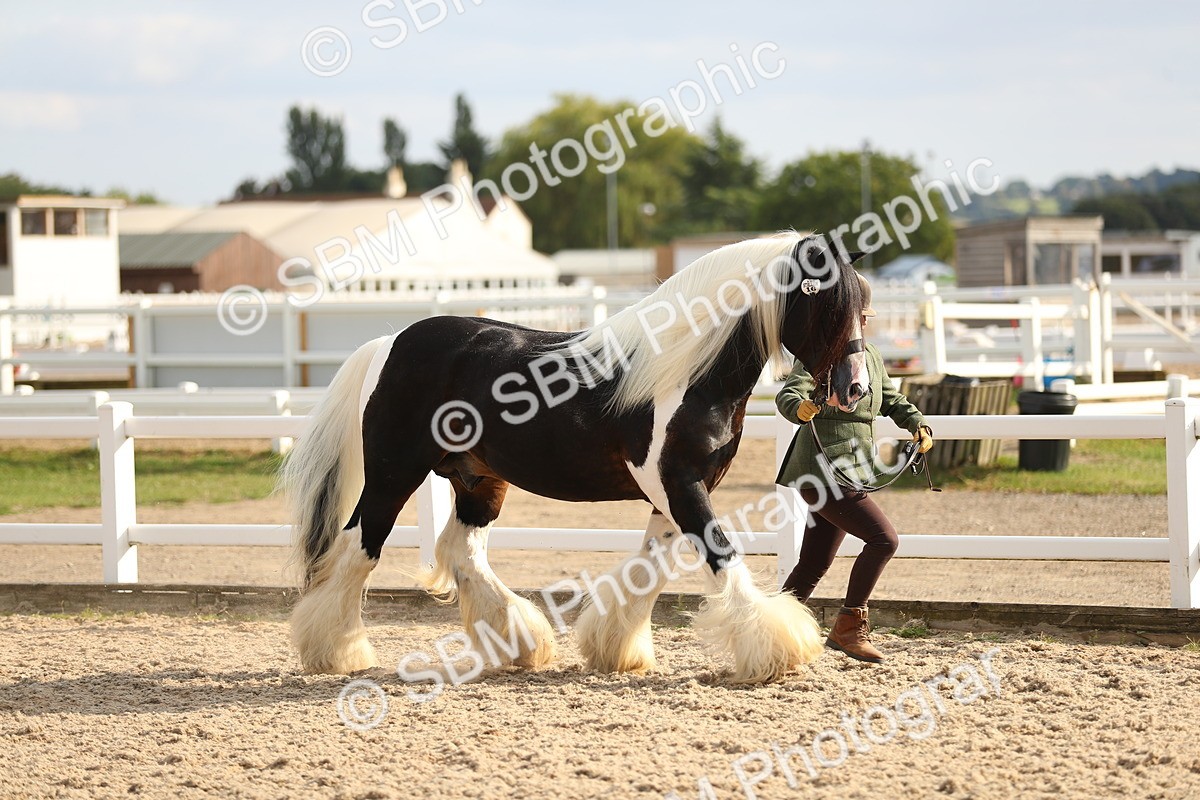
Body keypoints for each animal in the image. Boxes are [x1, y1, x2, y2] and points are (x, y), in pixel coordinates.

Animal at [282, 231, 868, 684]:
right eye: (824, 304)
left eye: (863, 305)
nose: (856, 389)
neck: (686, 371)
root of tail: (388, 344)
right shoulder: (679, 483)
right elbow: (722, 556)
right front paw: (775, 650)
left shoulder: (674, 490)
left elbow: (650, 567)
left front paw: (616, 650)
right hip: (393, 474)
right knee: (358, 548)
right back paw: (336, 652)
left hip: (477, 482)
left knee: (461, 552)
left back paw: (518, 644)